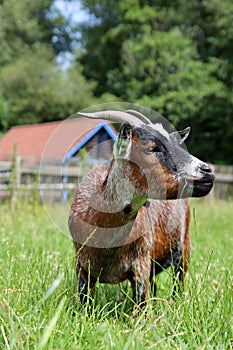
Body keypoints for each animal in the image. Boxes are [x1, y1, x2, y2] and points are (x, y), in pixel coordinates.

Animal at [68, 110, 215, 306]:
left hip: (184, 247)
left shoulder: (141, 265)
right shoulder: (82, 268)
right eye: (150, 149)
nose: (207, 171)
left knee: (178, 282)